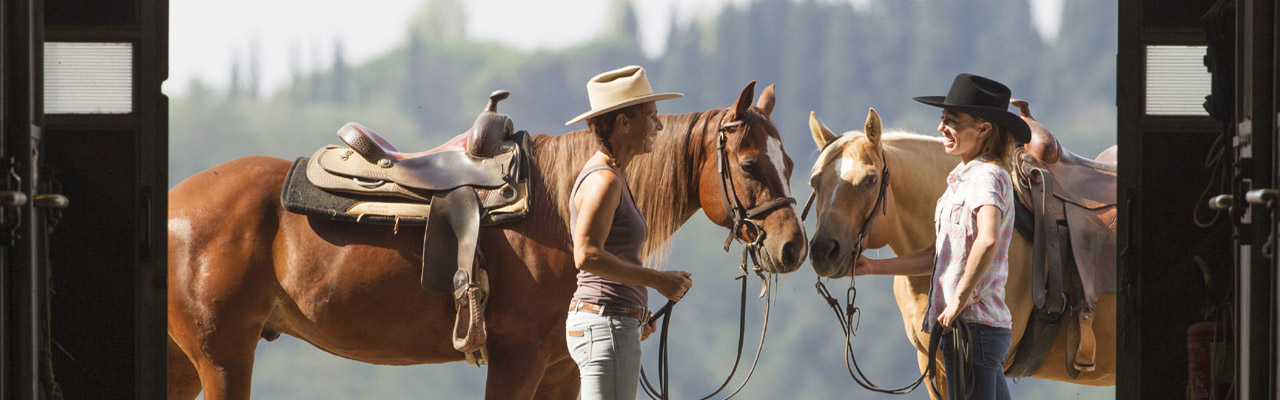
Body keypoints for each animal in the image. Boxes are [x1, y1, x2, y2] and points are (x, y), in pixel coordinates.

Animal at [167, 82, 808, 397]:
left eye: (792, 162)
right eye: (750, 164)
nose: (794, 247)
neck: (558, 209)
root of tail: (174, 204)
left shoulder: (562, 370)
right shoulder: (516, 359)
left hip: (187, 364)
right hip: (223, 359)